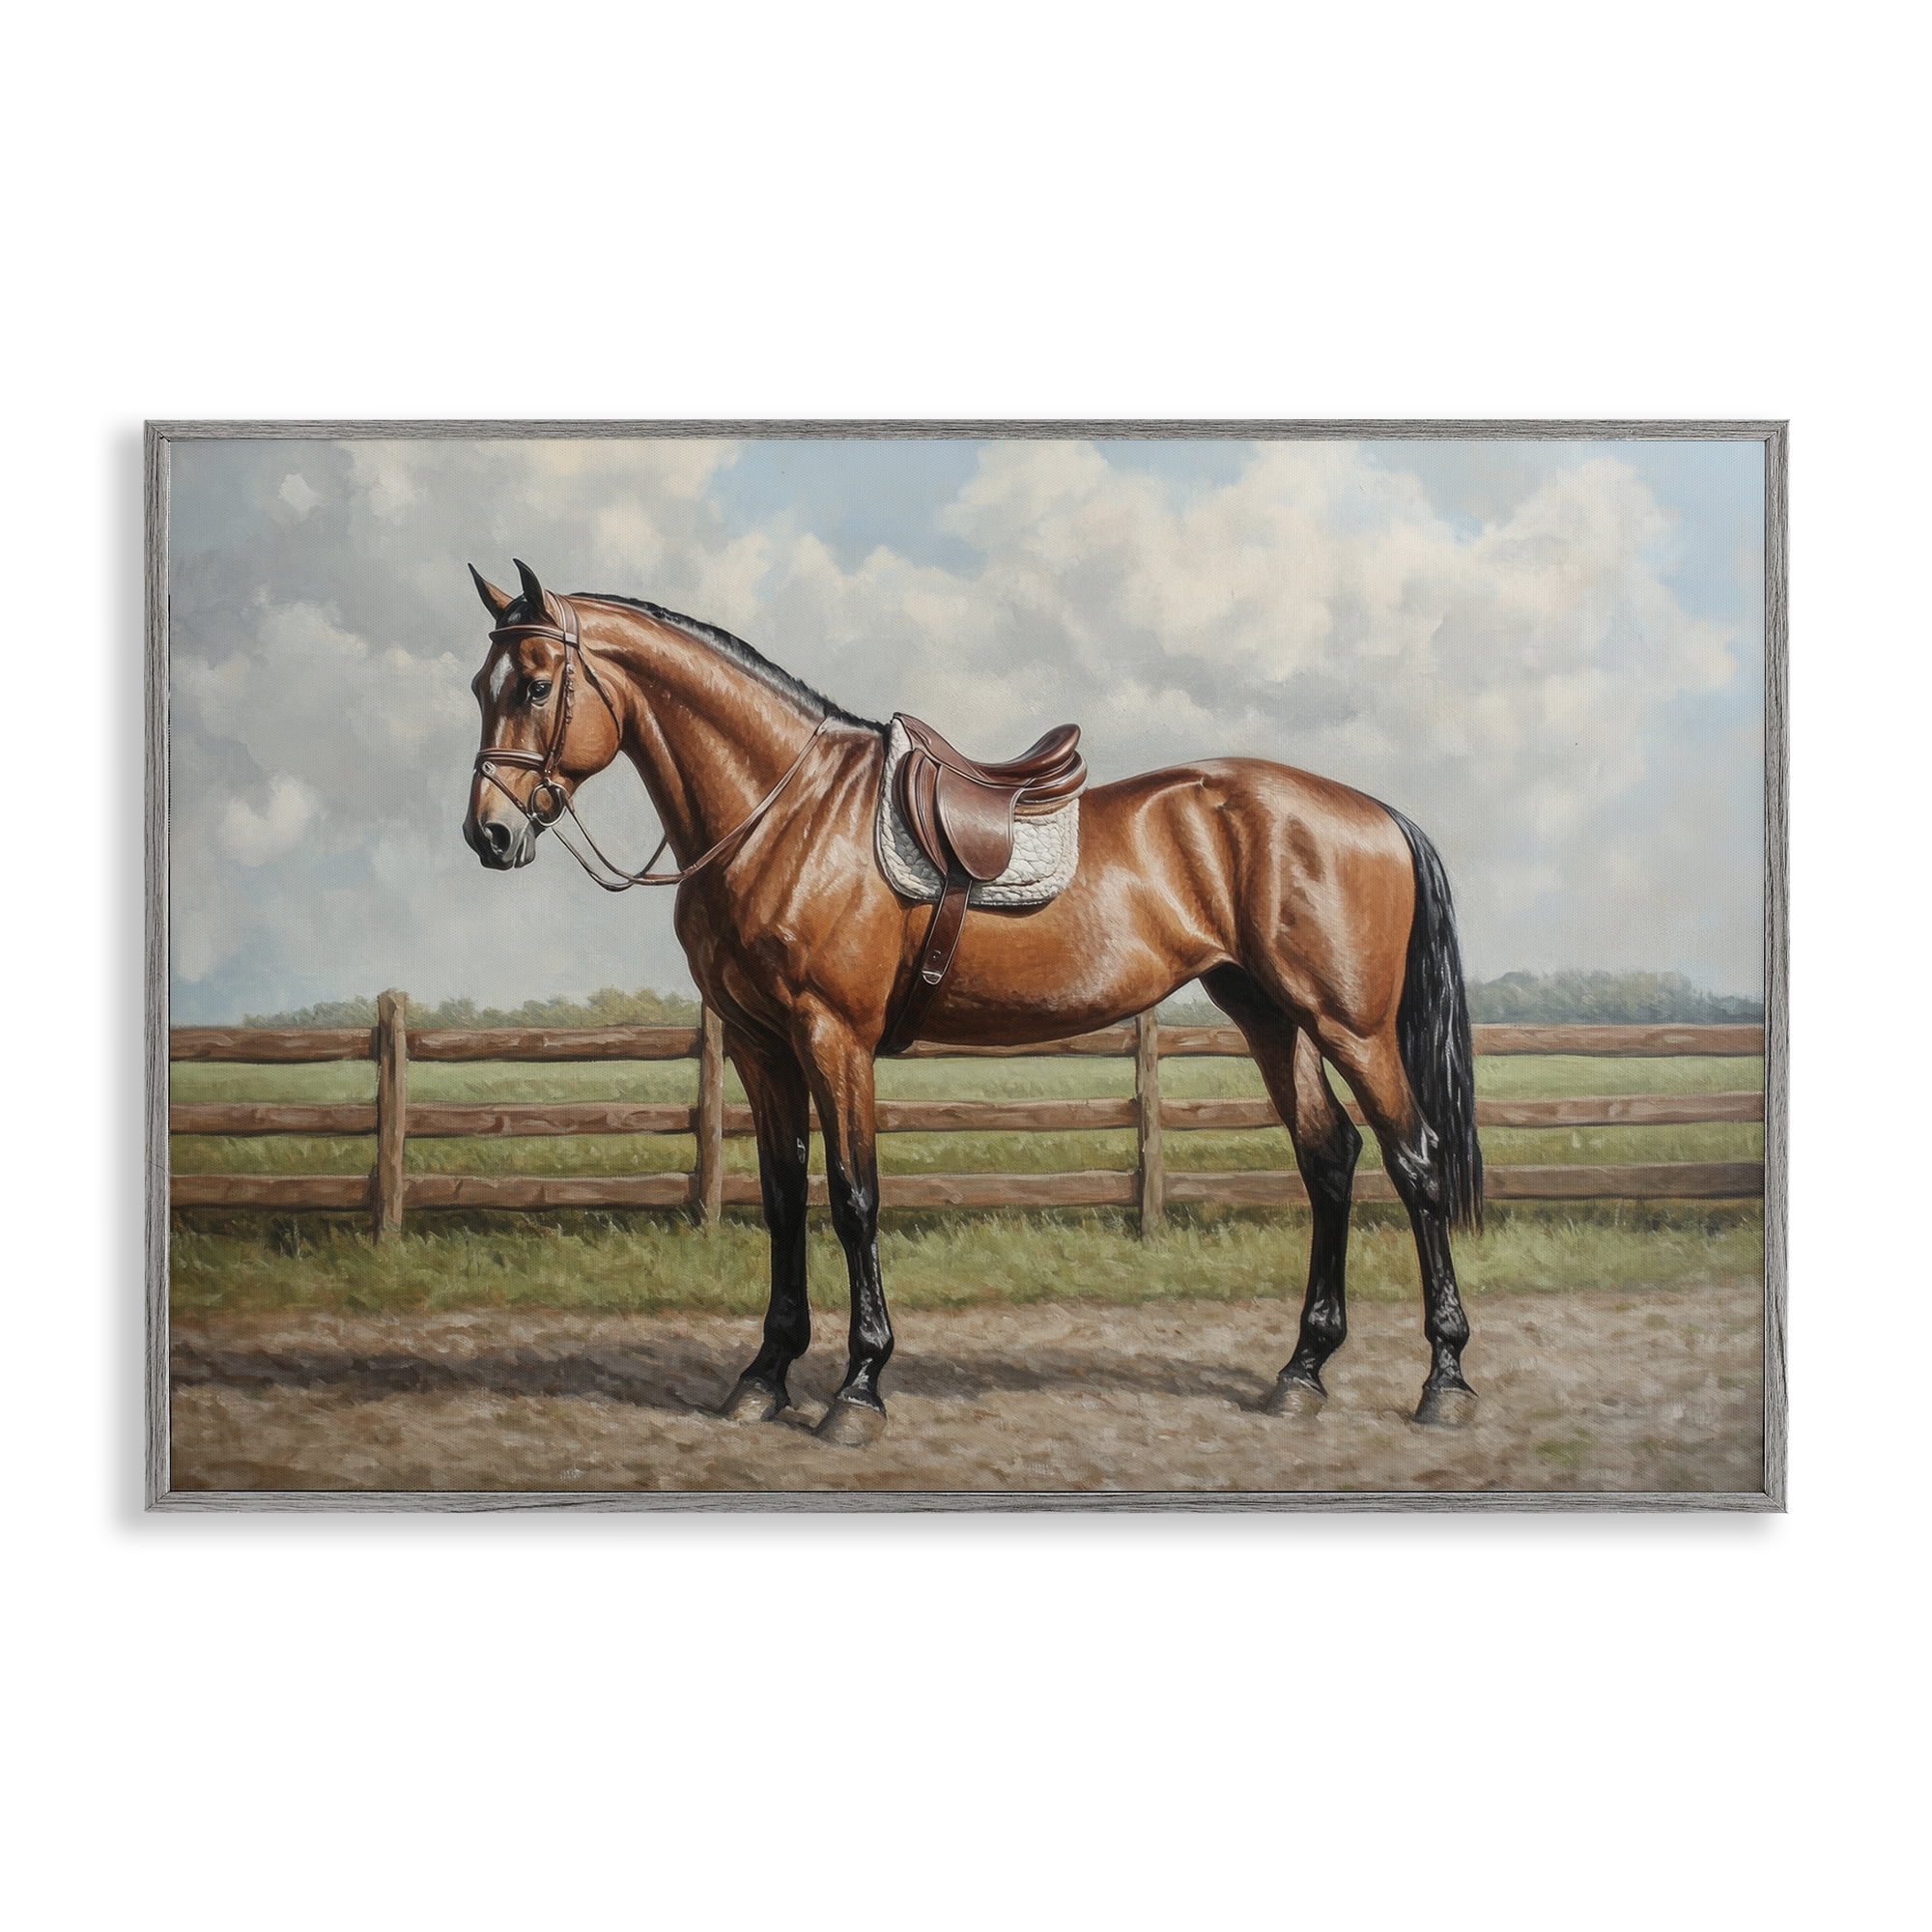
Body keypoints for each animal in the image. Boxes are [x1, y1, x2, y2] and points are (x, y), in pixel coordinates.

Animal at [462, 560, 1484, 1446]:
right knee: (1330, 1159)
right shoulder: (759, 1045)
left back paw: (1446, 1381)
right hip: (1272, 1017)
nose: (489, 834)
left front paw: (859, 1388)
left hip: (1352, 1027)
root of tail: (1376, 814)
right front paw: (764, 1375)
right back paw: (1301, 1373)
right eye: (481, 684)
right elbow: (785, 1198)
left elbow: (853, 1198)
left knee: (1415, 1162)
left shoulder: (832, 1037)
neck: (782, 813)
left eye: (539, 685)